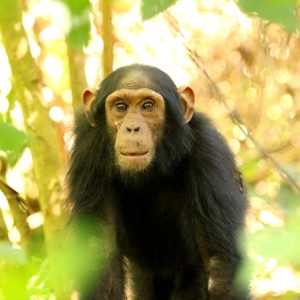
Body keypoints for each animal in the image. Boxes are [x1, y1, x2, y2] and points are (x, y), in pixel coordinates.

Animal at [68, 64, 248, 298]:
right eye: (120, 107)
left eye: (147, 106)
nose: (132, 127)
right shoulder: (87, 150)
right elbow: (100, 251)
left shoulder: (209, 153)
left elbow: (220, 268)